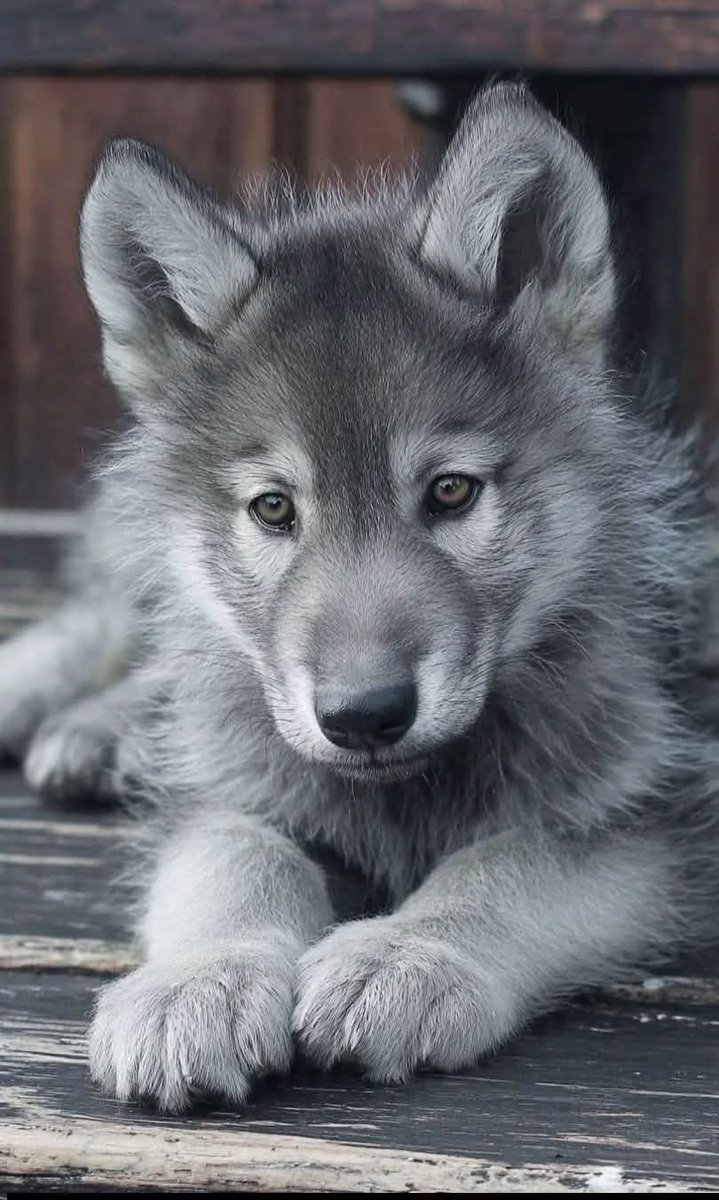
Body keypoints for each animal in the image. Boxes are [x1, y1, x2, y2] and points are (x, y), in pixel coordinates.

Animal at [0, 83, 717, 1112]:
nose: (364, 717)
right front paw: (201, 977)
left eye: (451, 492)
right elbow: (238, 858)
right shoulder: (227, 793)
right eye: (273, 507)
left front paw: (409, 954)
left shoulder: (657, 819)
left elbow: (512, 860)